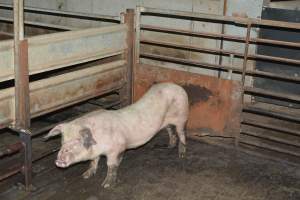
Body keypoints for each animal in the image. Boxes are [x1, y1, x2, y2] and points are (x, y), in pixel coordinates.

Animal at [43, 82, 189, 188]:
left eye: (77, 141)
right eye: (62, 140)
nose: (59, 160)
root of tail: (178, 87)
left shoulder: (115, 149)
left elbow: (111, 166)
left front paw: (106, 185)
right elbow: (93, 162)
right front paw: (85, 175)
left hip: (182, 116)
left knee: (182, 134)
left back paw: (181, 154)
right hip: (166, 122)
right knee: (170, 130)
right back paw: (167, 146)